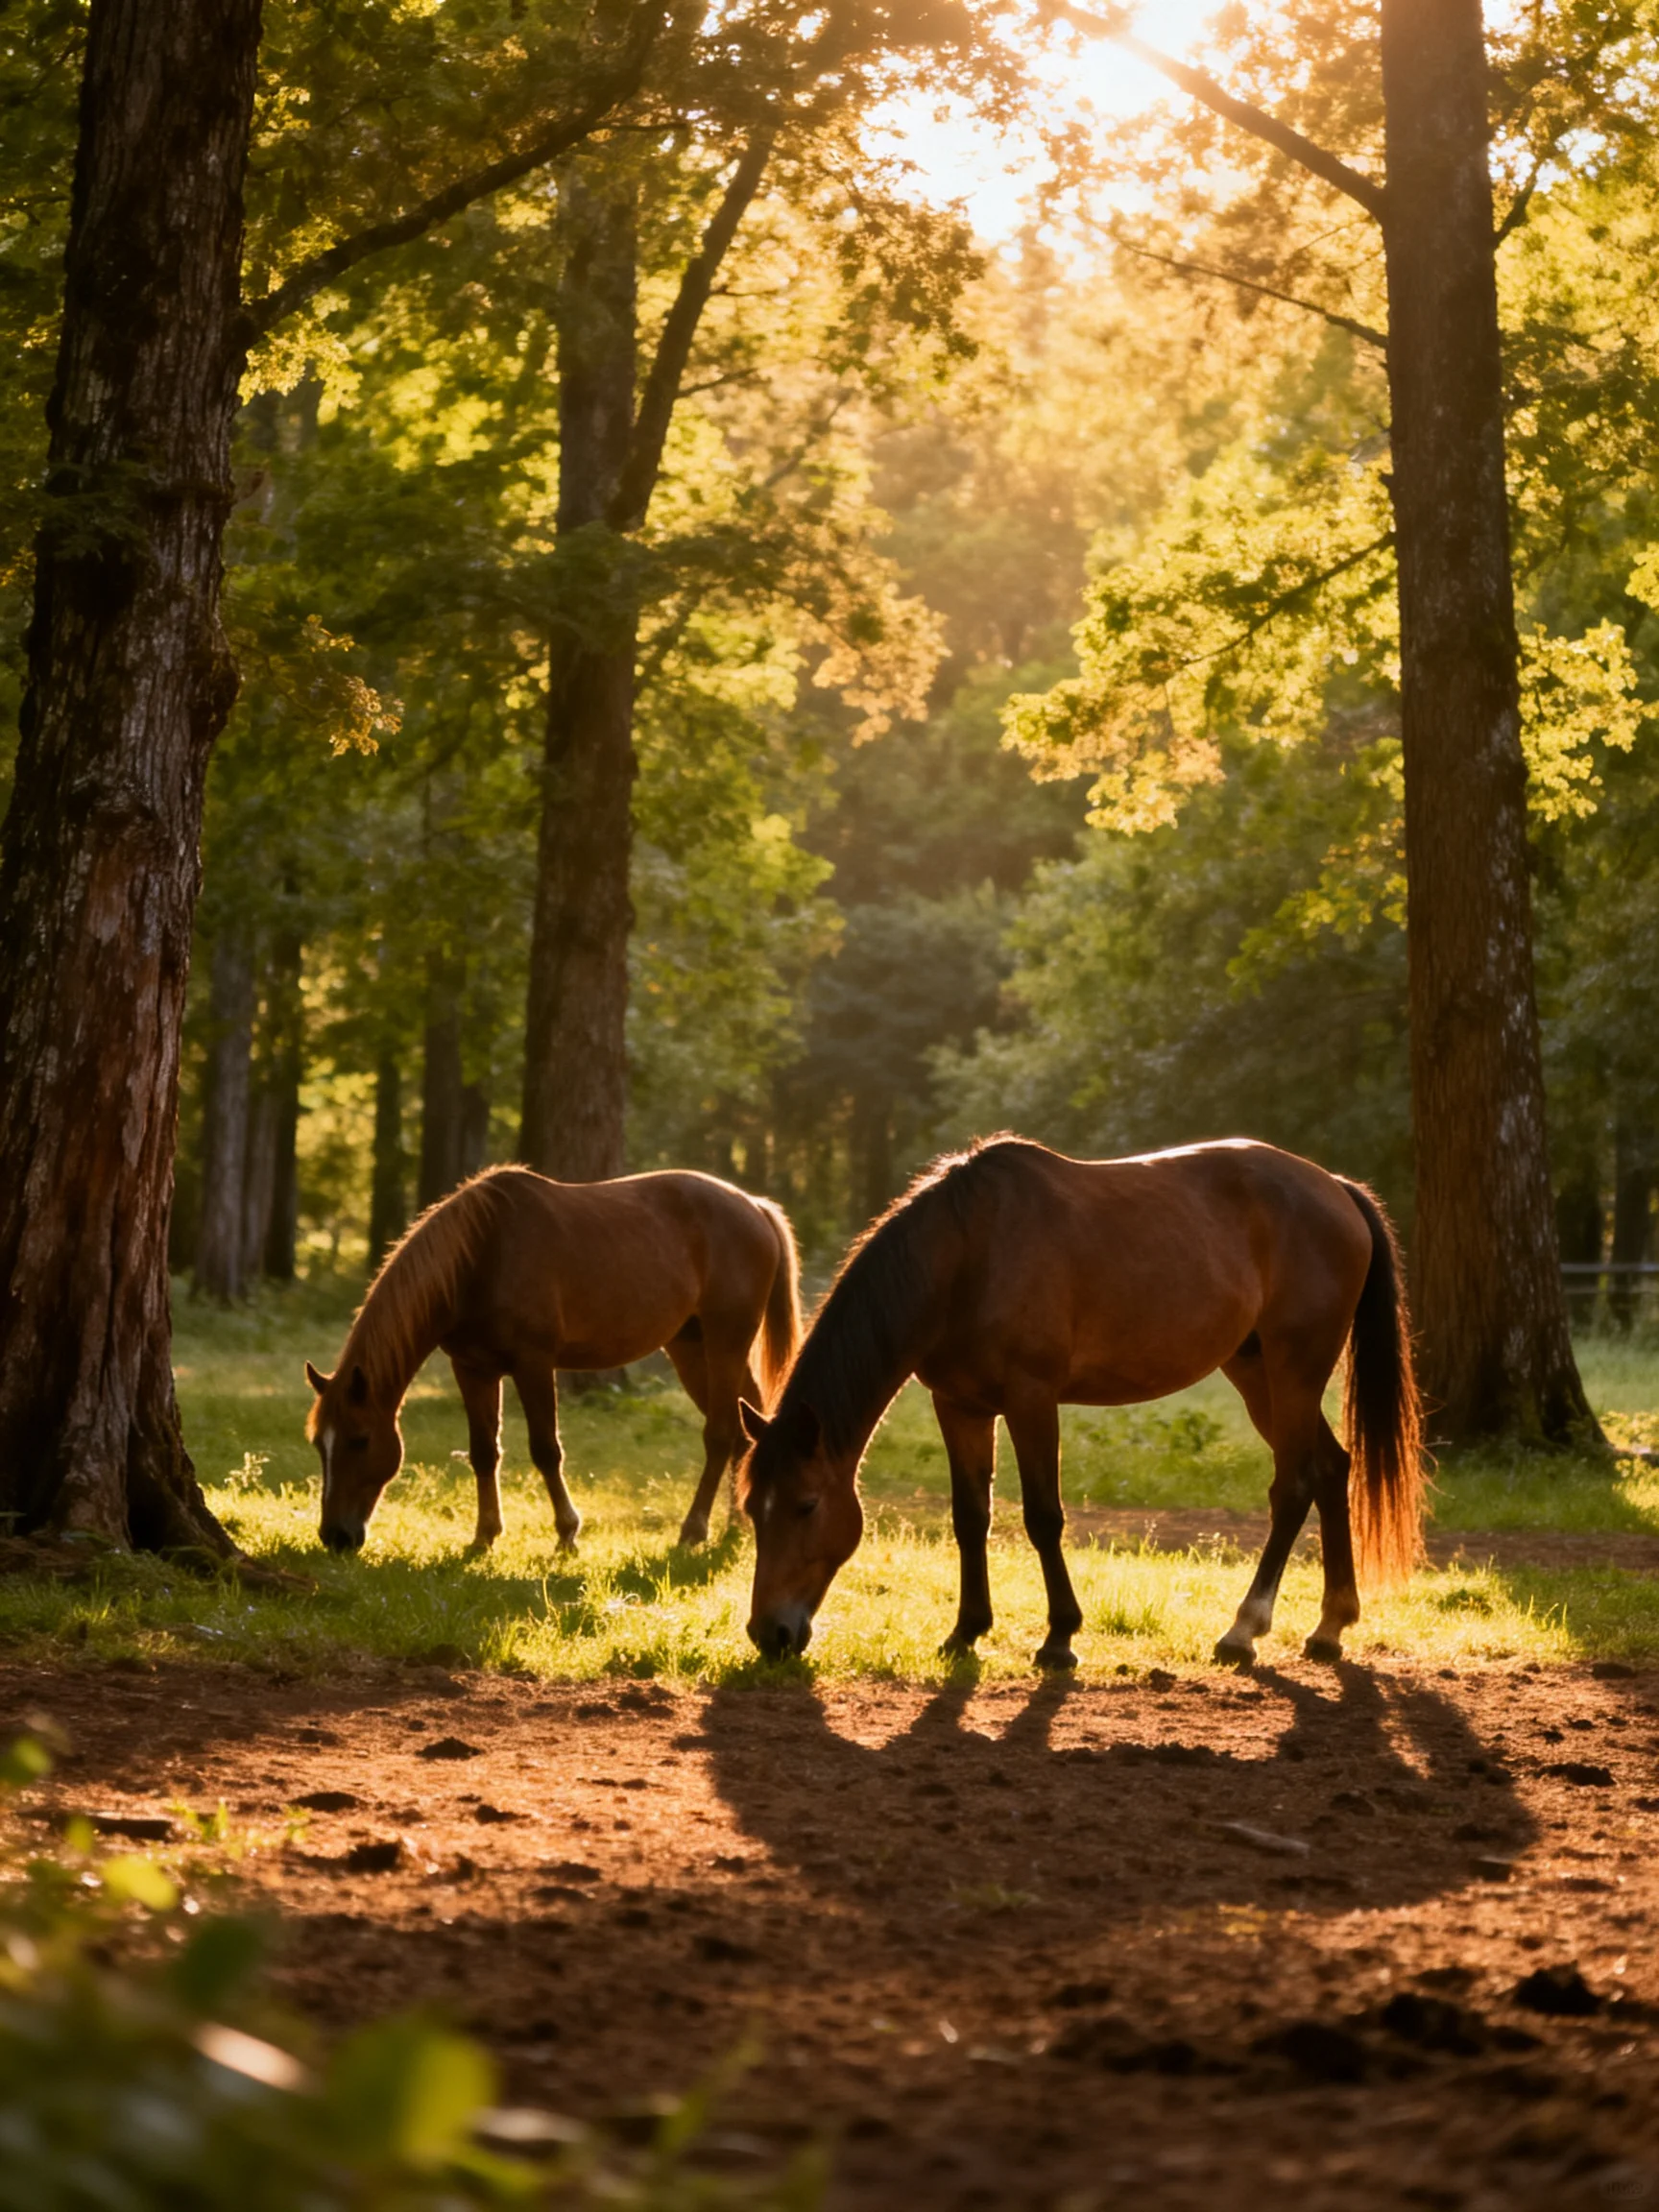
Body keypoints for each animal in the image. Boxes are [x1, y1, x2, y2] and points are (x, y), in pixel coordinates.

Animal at [305, 1165, 800, 1555]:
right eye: (318, 1445)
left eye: (360, 1440)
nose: (335, 1537)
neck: (481, 1256)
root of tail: (755, 1207)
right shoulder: (473, 1369)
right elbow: (484, 1452)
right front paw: (484, 1535)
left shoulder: (534, 1365)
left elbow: (545, 1450)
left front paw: (567, 1533)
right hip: (692, 1349)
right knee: (743, 1429)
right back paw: (738, 1526)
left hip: (725, 1342)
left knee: (720, 1433)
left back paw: (694, 1530)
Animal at [739, 1134, 1424, 1671]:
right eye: (751, 1509)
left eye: (806, 1505)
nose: (770, 1634)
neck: (968, 1254)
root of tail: (1336, 1189)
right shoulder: (959, 1407)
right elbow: (970, 1517)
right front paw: (966, 1632)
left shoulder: (1032, 1399)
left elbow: (1043, 1516)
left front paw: (1059, 1639)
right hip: (1257, 1373)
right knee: (1332, 1469)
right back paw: (1330, 1627)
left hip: (1295, 1369)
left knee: (1294, 1485)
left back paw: (1242, 1631)